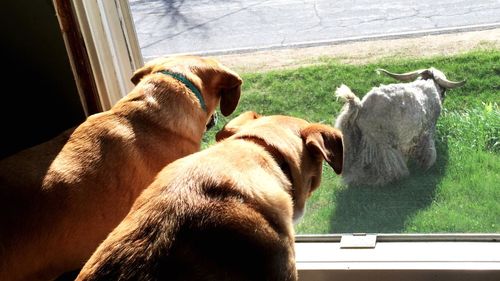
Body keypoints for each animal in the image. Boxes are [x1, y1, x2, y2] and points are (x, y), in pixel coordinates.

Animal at [334, 67, 466, 186]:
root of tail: (360, 107)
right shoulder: (427, 130)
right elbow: (428, 151)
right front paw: (426, 165)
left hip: (353, 140)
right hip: (381, 141)